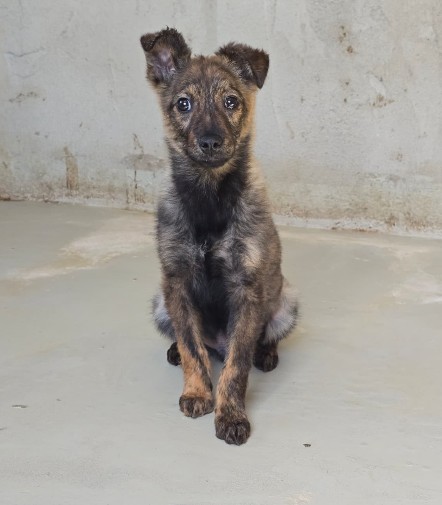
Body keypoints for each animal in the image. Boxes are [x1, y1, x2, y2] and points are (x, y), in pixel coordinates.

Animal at [140, 28, 298, 445]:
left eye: (231, 102)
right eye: (183, 104)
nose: (210, 141)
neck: (209, 197)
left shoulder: (247, 290)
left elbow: (237, 365)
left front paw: (230, 415)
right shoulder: (176, 282)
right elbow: (192, 347)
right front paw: (197, 392)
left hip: (286, 300)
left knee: (258, 342)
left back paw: (266, 354)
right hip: (160, 303)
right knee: (194, 343)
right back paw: (175, 352)